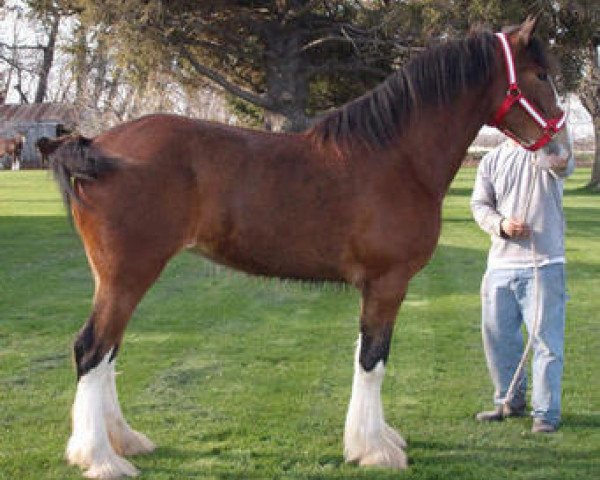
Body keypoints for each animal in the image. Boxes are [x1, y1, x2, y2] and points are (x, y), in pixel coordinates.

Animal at [45, 16, 568, 478]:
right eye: (541, 75)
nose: (561, 149)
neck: (397, 157)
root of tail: (97, 144)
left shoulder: (375, 287)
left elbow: (365, 356)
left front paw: (374, 438)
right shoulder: (388, 283)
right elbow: (374, 360)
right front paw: (375, 450)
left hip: (122, 279)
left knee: (108, 354)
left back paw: (123, 441)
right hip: (128, 275)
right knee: (91, 350)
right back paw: (101, 459)